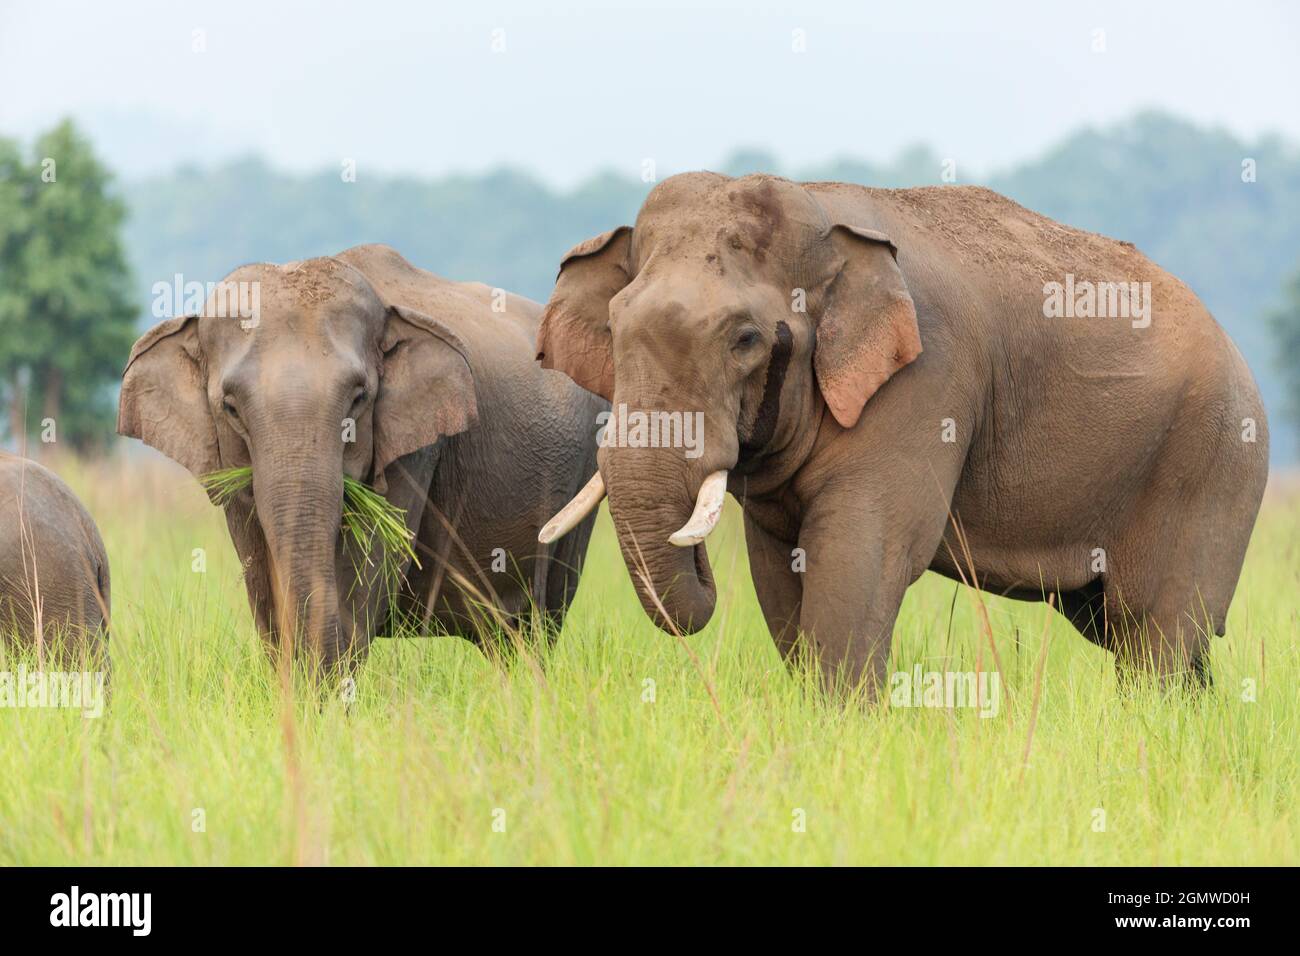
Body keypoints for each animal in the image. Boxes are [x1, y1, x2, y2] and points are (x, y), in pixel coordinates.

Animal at [119, 244, 605, 671]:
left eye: (358, 398)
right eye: (231, 408)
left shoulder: (416, 447)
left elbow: (372, 562)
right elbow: (258, 565)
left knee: (538, 625)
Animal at [535, 170, 1268, 697]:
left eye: (745, 339)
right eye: (615, 326)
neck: (820, 215)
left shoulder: (926, 380)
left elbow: (864, 552)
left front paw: (839, 726)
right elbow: (779, 564)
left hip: (1211, 461)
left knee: (1157, 629)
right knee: (1140, 634)